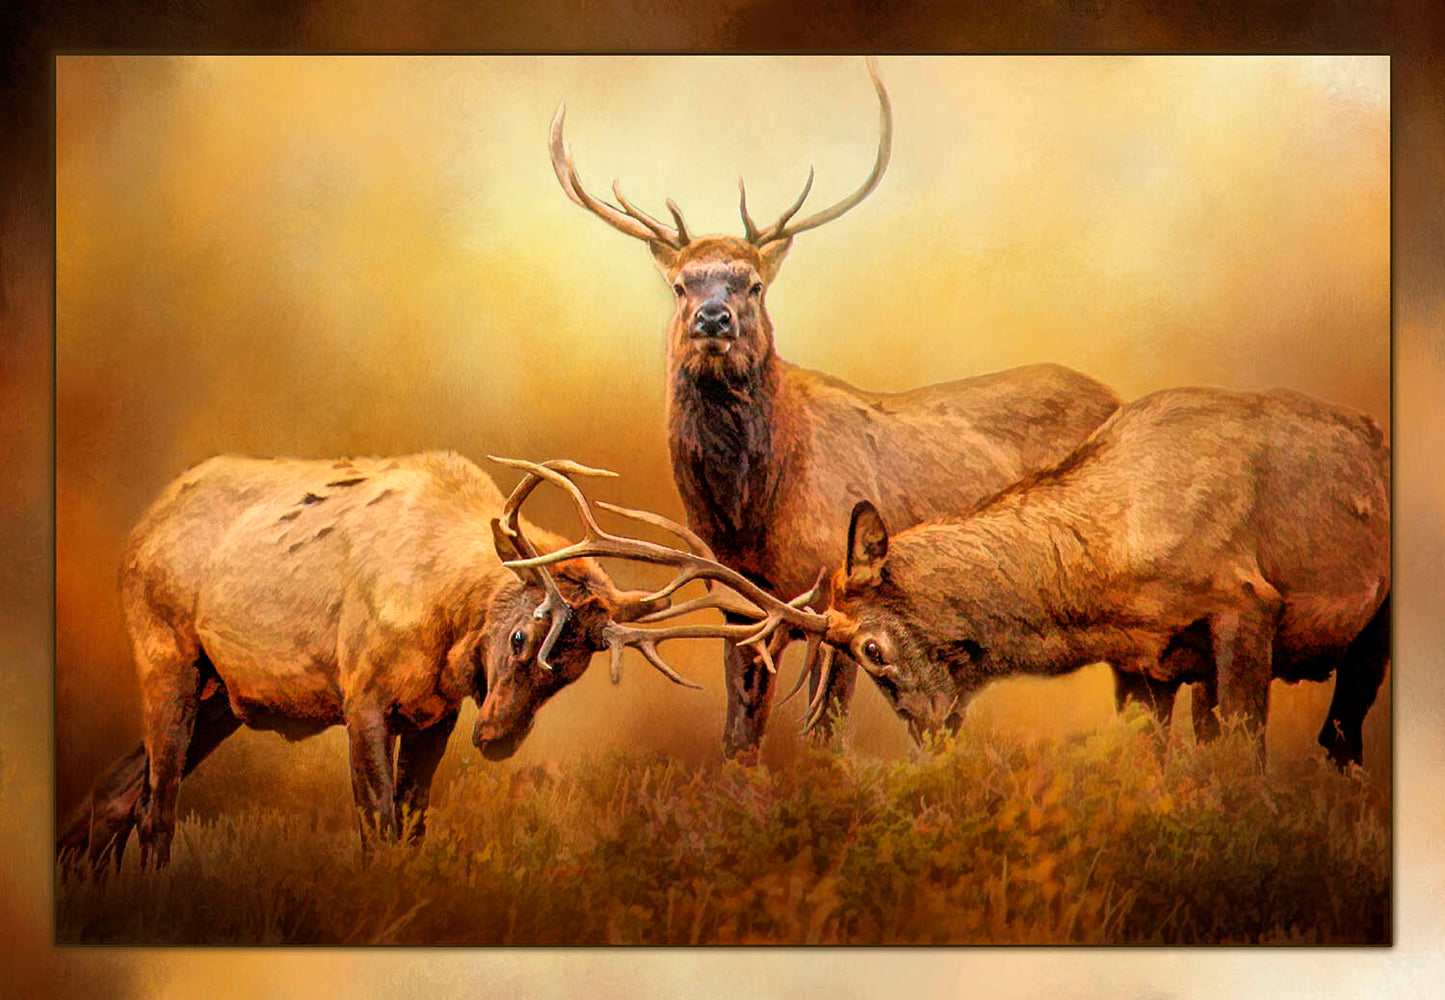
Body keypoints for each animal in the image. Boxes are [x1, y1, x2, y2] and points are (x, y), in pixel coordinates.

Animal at [57, 452, 825, 873]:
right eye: (521, 639)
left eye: (573, 673)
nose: (497, 739)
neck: (442, 622)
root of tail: (140, 528)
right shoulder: (363, 695)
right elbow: (377, 824)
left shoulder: (435, 714)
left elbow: (413, 824)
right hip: (167, 656)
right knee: (156, 803)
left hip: (224, 697)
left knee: (115, 792)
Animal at [550, 57, 1123, 760]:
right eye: (682, 284)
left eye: (754, 284)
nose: (713, 318)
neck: (749, 515)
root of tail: (1117, 394)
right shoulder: (737, 604)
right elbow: (739, 735)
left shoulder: (836, 593)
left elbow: (827, 736)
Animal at [813, 386, 1390, 768]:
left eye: (870, 648)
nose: (928, 737)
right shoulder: (1143, 667)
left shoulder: (1248, 604)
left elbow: (1243, 759)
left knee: (1343, 738)